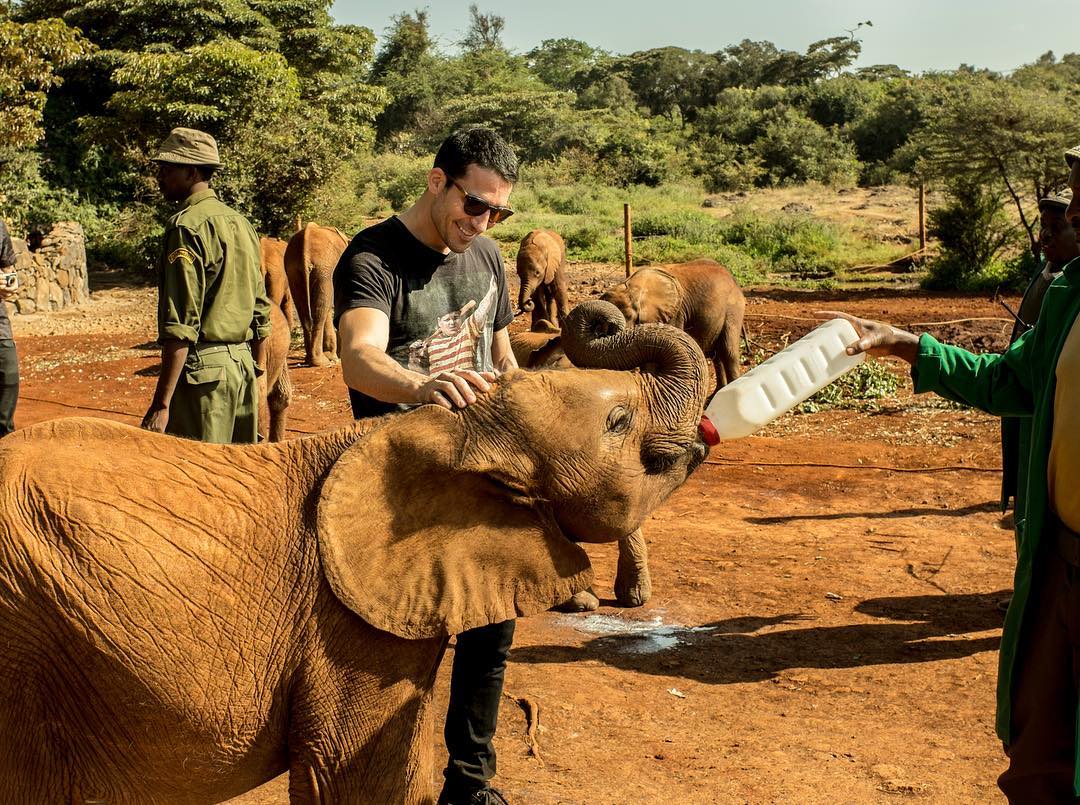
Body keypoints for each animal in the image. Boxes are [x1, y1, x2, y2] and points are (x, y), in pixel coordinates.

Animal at [285, 222, 349, 367]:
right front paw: (335, 357)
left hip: (294, 270)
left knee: (304, 310)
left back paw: (310, 359)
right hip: (324, 269)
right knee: (320, 310)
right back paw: (321, 361)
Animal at [601, 259, 746, 394]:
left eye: (629, 317)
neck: (633, 286)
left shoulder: (675, 315)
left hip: (733, 308)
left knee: (728, 351)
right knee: (717, 355)